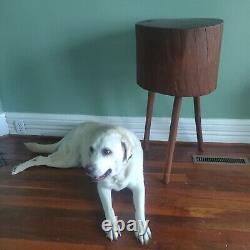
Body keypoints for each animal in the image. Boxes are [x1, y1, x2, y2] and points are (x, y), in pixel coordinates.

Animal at [11, 122, 150, 244]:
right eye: (91, 149)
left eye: (107, 151)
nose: (87, 169)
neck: (118, 173)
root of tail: (71, 132)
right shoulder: (103, 187)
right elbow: (108, 208)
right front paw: (111, 226)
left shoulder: (139, 187)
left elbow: (139, 208)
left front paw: (142, 228)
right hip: (66, 159)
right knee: (39, 158)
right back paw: (18, 168)